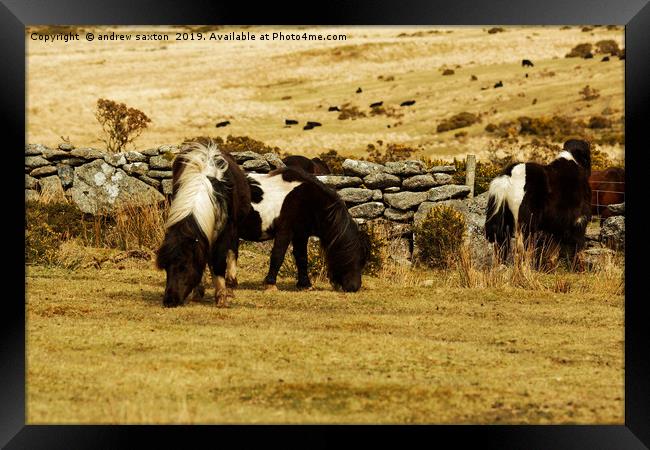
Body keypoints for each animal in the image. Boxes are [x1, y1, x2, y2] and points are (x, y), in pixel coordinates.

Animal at [154, 141, 251, 308]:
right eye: (166, 267)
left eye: (184, 266)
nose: (169, 301)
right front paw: (198, 292)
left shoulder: (224, 233)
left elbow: (218, 262)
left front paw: (222, 297)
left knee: (233, 250)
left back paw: (231, 283)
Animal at [234, 166, 370, 292]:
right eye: (359, 259)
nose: (354, 287)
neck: (306, 199)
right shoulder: (285, 231)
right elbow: (278, 255)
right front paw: (270, 284)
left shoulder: (301, 234)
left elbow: (302, 258)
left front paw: (305, 285)